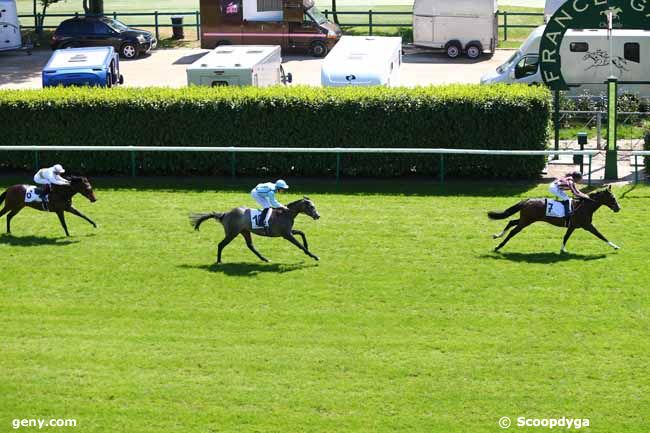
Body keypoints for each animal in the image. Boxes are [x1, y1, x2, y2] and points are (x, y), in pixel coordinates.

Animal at [189, 197, 320, 264]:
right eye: (311, 207)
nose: (317, 216)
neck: (286, 213)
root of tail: (225, 214)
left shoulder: (287, 232)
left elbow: (302, 233)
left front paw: (307, 246)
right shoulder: (286, 234)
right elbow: (299, 245)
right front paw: (313, 256)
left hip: (245, 231)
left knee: (250, 246)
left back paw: (265, 259)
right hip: (232, 233)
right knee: (221, 244)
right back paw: (219, 261)